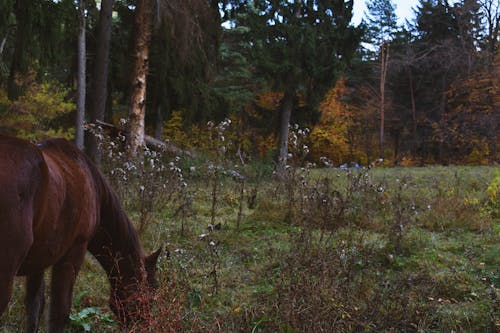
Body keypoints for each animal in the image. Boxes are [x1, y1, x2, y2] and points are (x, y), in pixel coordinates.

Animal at [0, 136, 160, 332]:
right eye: (149, 298)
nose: (145, 326)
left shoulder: (38, 261)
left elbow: (34, 308)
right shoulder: (74, 252)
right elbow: (59, 313)